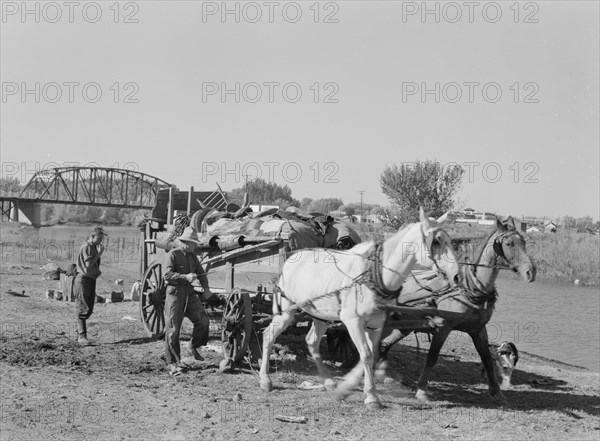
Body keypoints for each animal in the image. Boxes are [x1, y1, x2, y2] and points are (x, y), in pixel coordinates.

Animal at [258, 208, 460, 408]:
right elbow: (366, 355)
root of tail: (291, 258)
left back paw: (329, 382)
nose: (457, 276)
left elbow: (370, 355)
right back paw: (265, 380)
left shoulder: (376, 324)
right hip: (286, 312)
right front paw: (370, 396)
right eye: (436, 241)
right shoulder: (353, 322)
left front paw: (350, 388)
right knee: (269, 335)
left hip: (320, 315)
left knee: (312, 341)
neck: (376, 275)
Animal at [378, 216, 536, 402]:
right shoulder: (442, 327)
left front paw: (497, 393)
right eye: (509, 244)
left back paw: (383, 375)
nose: (531, 272)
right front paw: (422, 390)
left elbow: (487, 360)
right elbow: (432, 358)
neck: (469, 289)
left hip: (404, 325)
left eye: (524, 242)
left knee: (383, 345)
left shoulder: (478, 329)